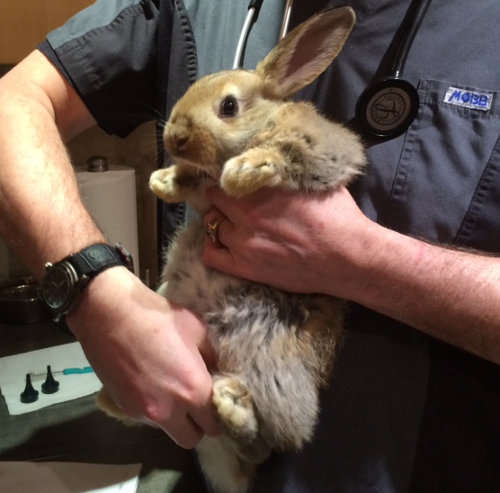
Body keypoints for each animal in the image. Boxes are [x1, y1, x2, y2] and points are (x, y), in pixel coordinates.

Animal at [97, 6, 366, 492]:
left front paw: (243, 172)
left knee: (271, 441)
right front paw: (163, 181)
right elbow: (193, 182)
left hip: (266, 365)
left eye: (228, 107)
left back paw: (232, 405)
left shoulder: (327, 151)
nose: (175, 136)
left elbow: (287, 152)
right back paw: (110, 400)